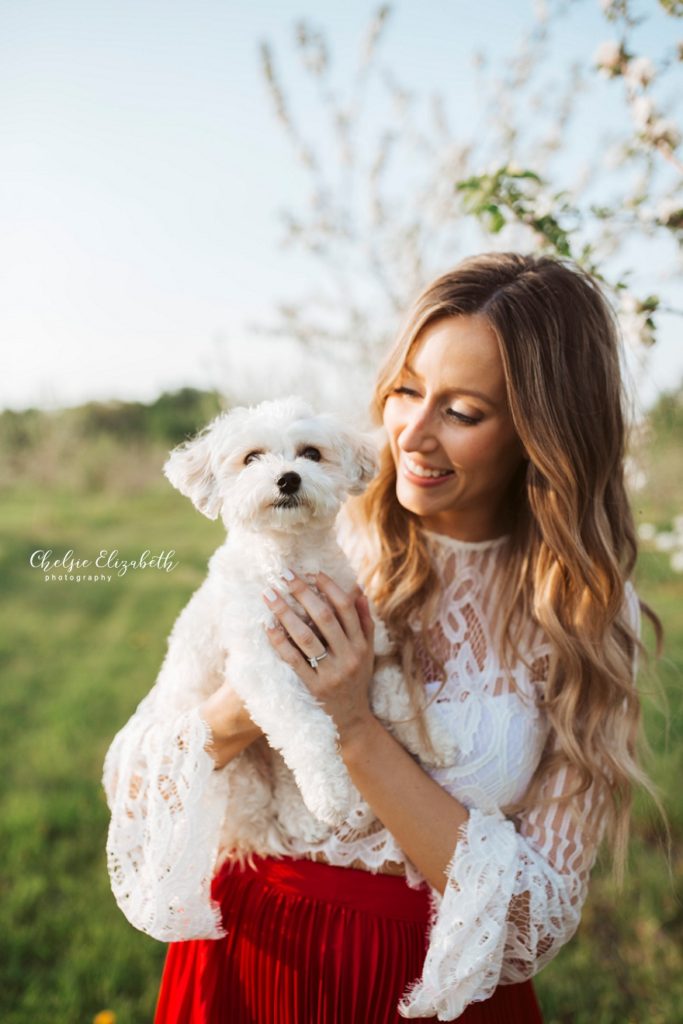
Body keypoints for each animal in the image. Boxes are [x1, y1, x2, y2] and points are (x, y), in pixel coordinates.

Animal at [163, 395, 428, 827]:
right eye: (251, 458)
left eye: (311, 454)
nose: (288, 479)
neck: (292, 561)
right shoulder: (262, 666)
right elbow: (306, 726)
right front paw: (329, 791)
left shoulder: (367, 630)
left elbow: (392, 683)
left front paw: (430, 735)